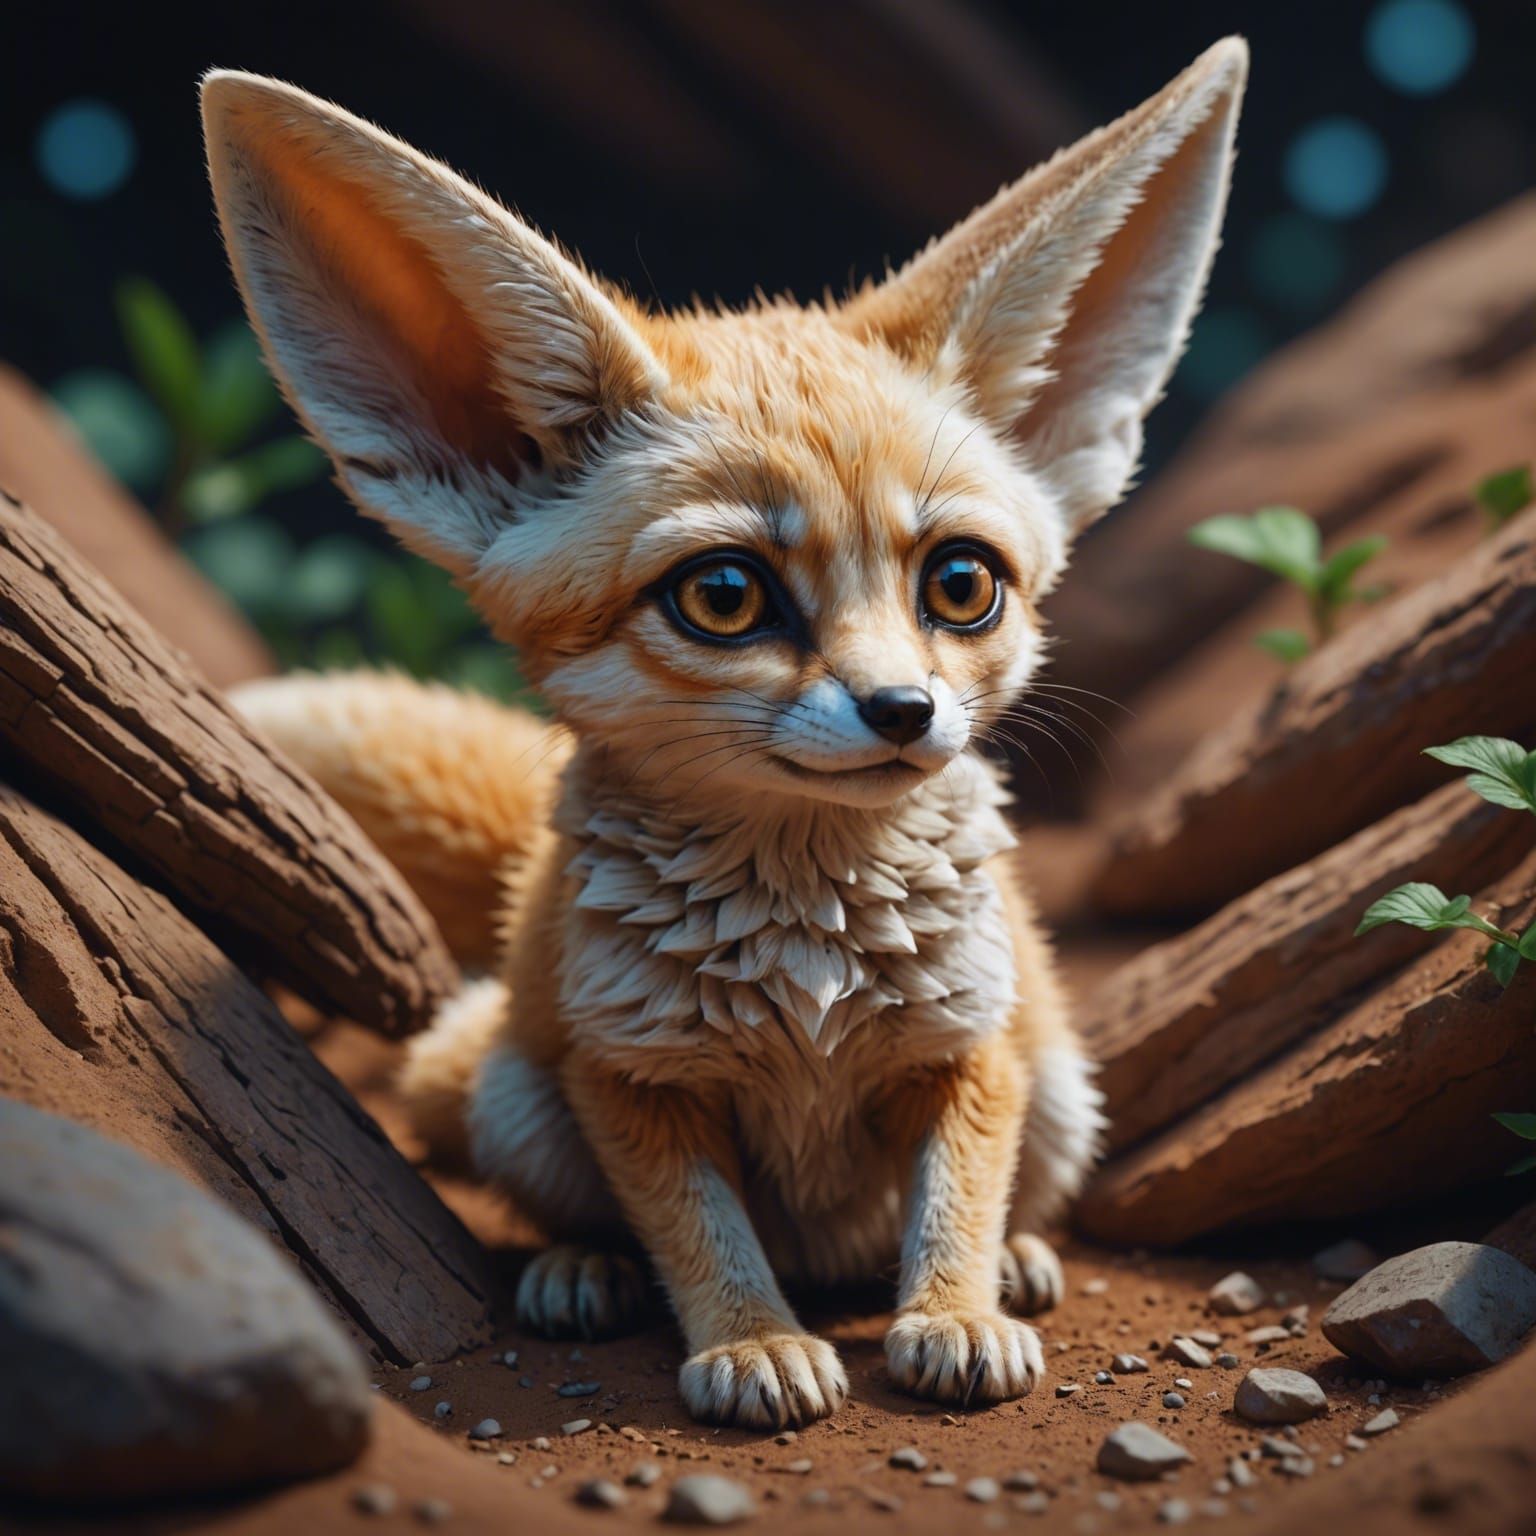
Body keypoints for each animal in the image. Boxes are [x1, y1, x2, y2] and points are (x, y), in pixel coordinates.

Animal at [202, 39, 1246, 1430]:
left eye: (962, 584)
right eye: (726, 596)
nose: (905, 712)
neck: (808, 954)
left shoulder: (969, 1049)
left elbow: (955, 1203)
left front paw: (954, 1313)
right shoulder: (635, 1077)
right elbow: (700, 1231)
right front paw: (753, 1341)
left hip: (1070, 1085)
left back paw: (1019, 1262)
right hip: (509, 1092)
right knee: (566, 1196)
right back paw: (579, 1269)